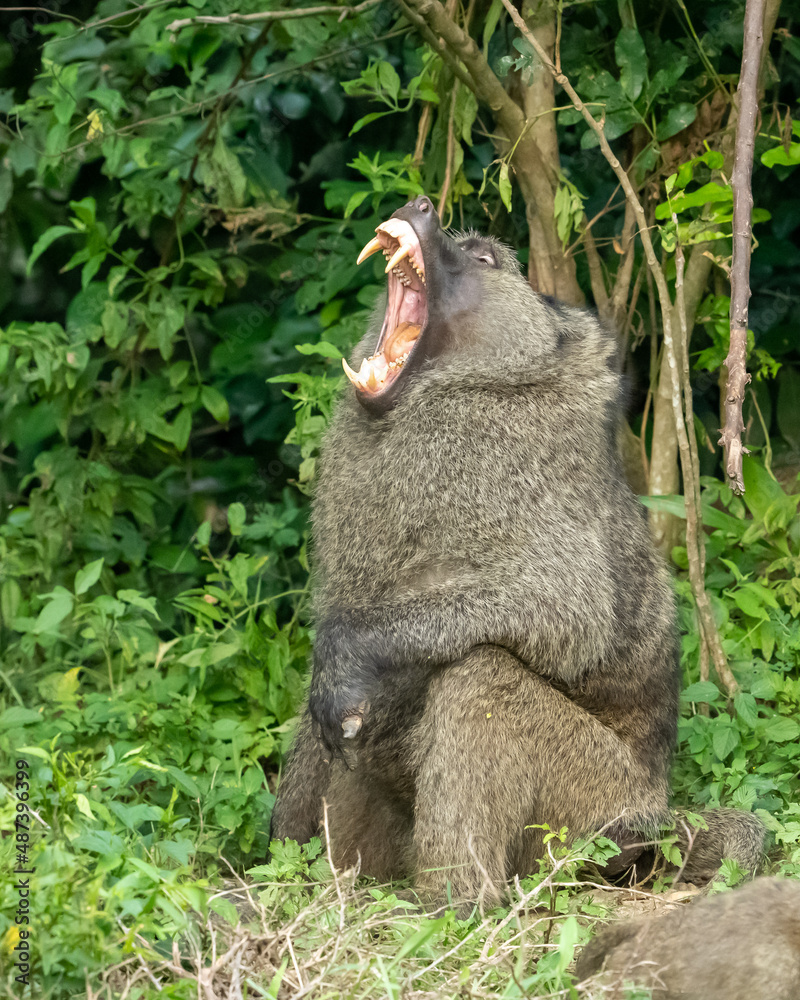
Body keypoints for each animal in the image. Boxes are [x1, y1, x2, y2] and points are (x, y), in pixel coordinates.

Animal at [269, 194, 764, 909]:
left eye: (483, 259)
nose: (421, 204)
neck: (470, 386)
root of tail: (657, 820)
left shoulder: (511, 469)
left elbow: (565, 613)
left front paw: (349, 654)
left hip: (592, 815)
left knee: (481, 674)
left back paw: (455, 909)